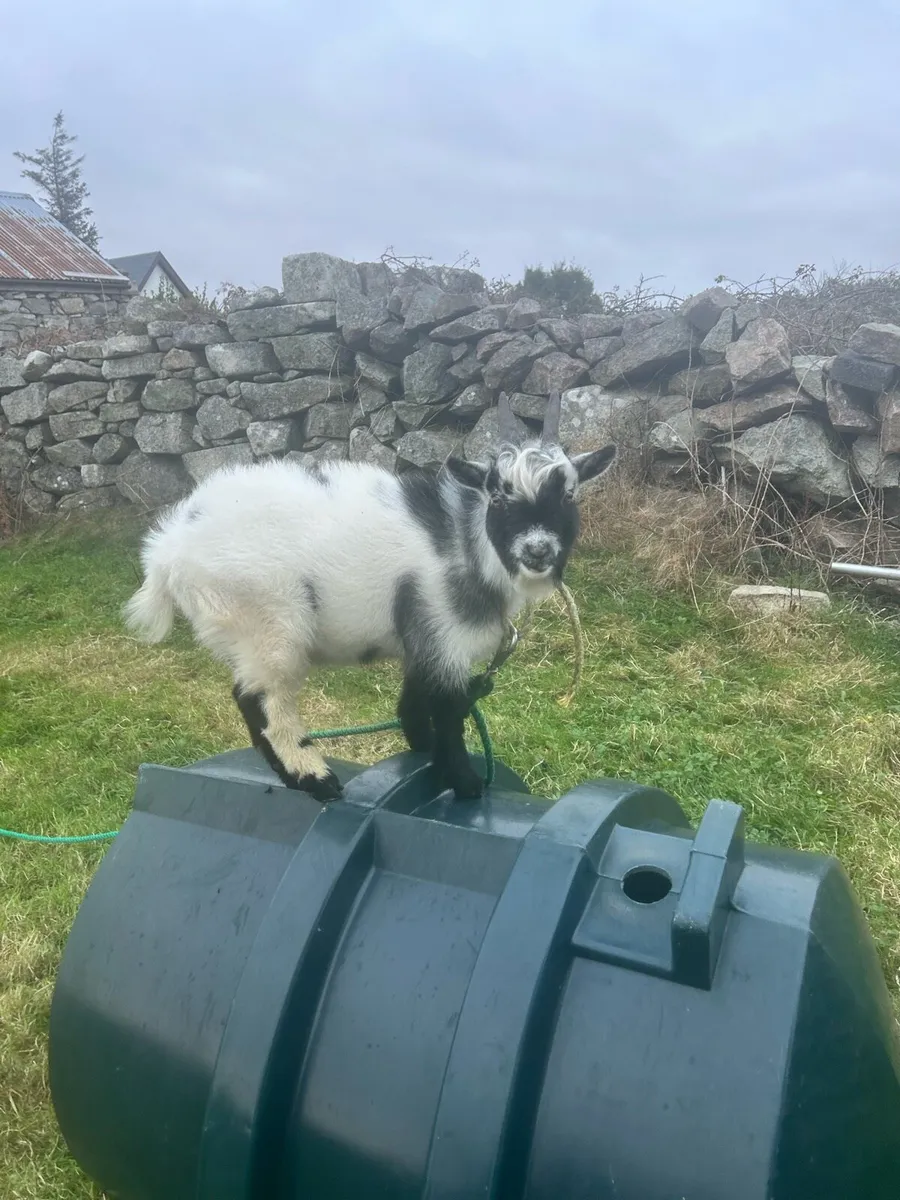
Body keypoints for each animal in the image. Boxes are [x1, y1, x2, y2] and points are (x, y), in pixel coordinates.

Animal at [123, 390, 616, 802]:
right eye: (496, 495)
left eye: (569, 494)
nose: (537, 550)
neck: (463, 541)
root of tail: (167, 551)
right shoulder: (445, 635)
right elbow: (449, 710)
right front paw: (465, 782)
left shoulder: (424, 639)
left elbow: (414, 703)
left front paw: (423, 753)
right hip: (266, 622)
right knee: (259, 699)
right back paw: (313, 776)